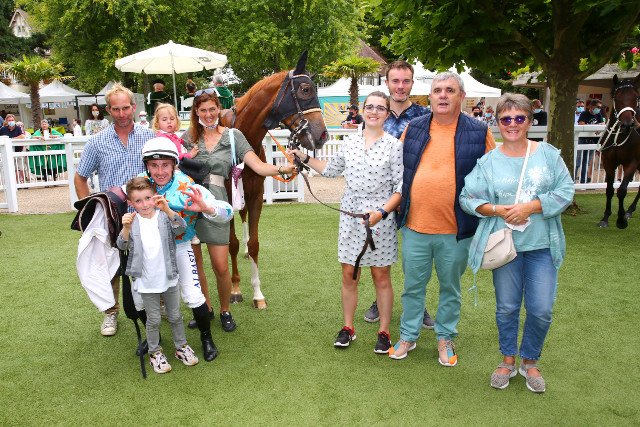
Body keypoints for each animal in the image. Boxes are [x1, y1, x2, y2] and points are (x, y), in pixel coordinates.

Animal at [219, 51, 328, 308]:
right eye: (306, 89)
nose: (322, 135)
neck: (243, 139)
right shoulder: (228, 197)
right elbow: (231, 243)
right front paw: (235, 289)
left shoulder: (256, 195)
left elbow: (254, 244)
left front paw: (258, 294)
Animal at [597, 73, 640, 229]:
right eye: (617, 97)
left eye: (636, 97)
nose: (627, 124)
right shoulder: (608, 162)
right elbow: (609, 190)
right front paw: (605, 218)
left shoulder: (632, 162)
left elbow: (621, 191)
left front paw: (621, 220)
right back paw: (630, 210)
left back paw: (629, 211)